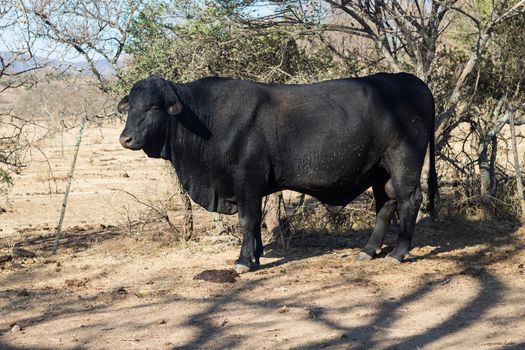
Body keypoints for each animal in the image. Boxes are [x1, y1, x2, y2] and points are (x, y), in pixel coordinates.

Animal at [118, 72, 438, 272]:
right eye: (130, 107)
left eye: (151, 107)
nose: (125, 138)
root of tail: (410, 80)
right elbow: (255, 222)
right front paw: (256, 255)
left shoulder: (247, 178)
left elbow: (248, 220)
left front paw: (244, 261)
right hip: (380, 171)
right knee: (386, 205)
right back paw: (369, 250)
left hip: (403, 161)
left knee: (409, 200)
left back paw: (397, 254)